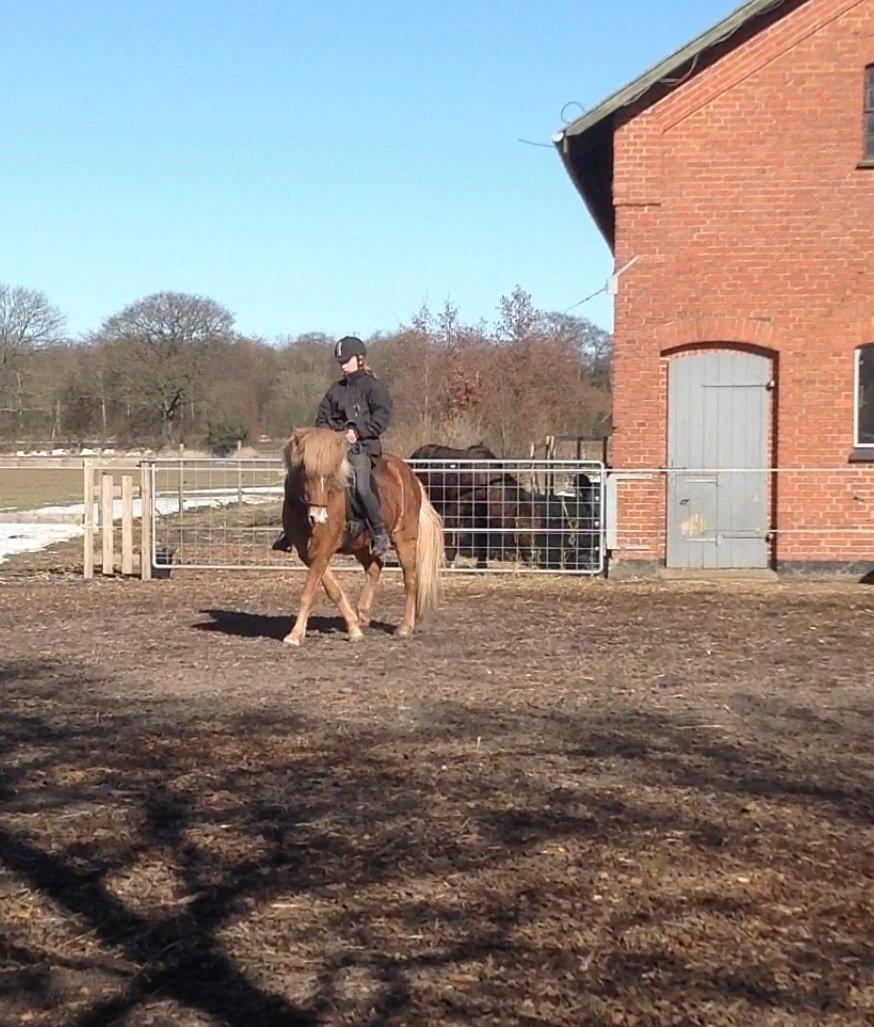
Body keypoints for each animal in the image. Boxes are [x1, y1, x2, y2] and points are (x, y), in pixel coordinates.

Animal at [279, 429, 443, 644]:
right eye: (305, 469)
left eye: (331, 474)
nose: (319, 517)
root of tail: (410, 475)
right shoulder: (307, 552)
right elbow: (331, 588)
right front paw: (352, 626)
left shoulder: (324, 547)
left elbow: (310, 590)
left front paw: (295, 634)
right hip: (360, 544)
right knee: (375, 567)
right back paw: (362, 614)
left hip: (405, 539)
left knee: (410, 579)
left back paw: (405, 627)